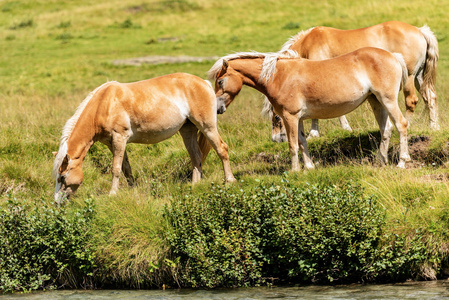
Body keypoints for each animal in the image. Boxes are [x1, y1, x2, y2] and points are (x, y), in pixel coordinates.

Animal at [52, 73, 234, 204]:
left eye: (63, 177)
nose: (57, 203)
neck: (104, 104)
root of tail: (204, 83)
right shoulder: (113, 143)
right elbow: (125, 168)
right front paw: (132, 189)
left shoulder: (119, 138)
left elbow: (115, 169)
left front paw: (112, 194)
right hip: (187, 129)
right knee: (196, 157)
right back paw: (194, 185)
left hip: (207, 126)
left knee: (221, 149)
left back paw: (230, 180)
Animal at [208, 48, 412, 172]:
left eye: (220, 81)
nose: (217, 108)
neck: (279, 76)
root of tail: (393, 55)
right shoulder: (298, 119)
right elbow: (302, 142)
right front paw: (309, 167)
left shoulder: (289, 117)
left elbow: (292, 145)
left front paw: (294, 170)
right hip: (375, 101)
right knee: (386, 129)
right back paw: (380, 160)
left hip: (387, 100)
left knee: (401, 125)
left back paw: (402, 162)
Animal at [260, 20, 440, 142]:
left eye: (276, 117)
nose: (276, 139)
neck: (308, 45)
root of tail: (419, 30)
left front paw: (316, 133)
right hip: (419, 77)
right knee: (430, 97)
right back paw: (434, 126)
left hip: (409, 77)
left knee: (411, 101)